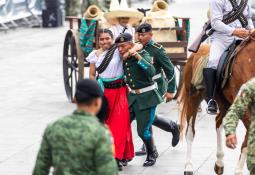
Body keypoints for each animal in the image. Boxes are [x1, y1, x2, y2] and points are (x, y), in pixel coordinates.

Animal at [178, 31, 255, 175]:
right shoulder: (244, 107)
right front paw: (239, 170)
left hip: (225, 104)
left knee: (219, 122)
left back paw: (219, 162)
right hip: (193, 99)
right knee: (190, 132)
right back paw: (188, 166)